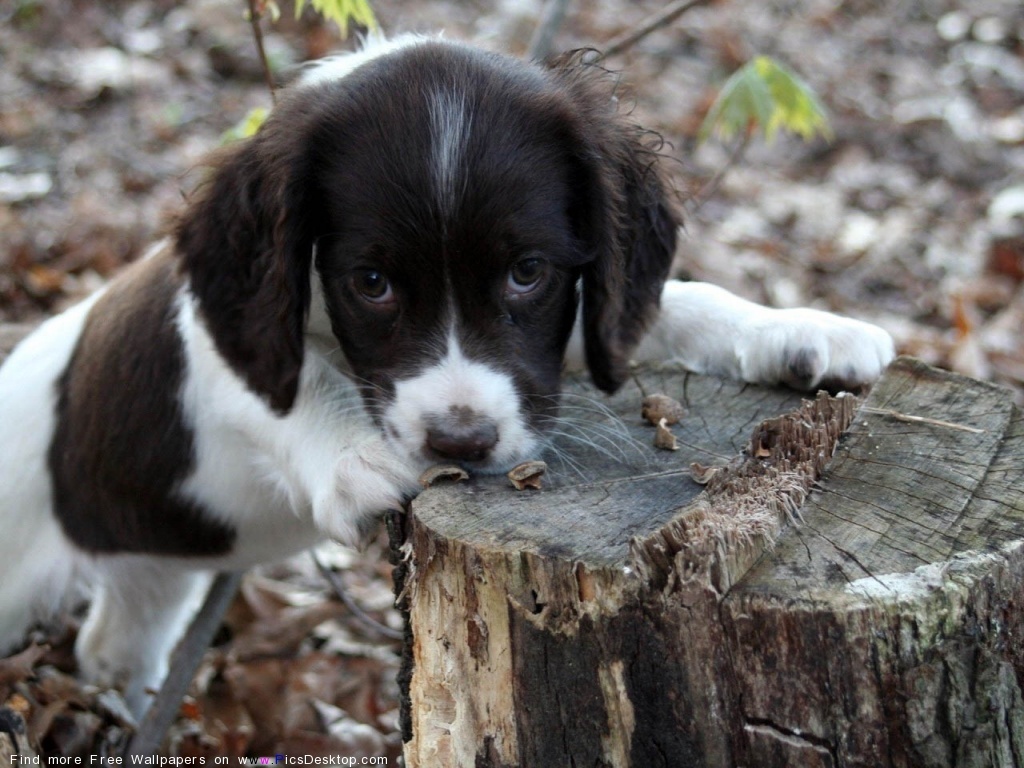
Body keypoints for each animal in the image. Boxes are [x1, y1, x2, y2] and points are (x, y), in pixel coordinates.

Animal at [0, 33, 892, 712]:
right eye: (371, 282)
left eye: (527, 273)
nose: (460, 444)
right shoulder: (216, 342)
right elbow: (295, 385)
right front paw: (360, 459)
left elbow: (684, 303)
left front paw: (804, 331)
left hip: (151, 572)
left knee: (111, 646)